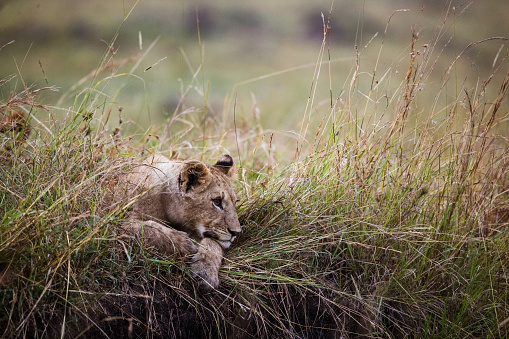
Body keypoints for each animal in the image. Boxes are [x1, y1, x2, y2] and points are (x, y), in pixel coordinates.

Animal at [118, 153, 241, 290]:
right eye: (217, 201)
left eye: (235, 202)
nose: (236, 232)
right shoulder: (121, 223)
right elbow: (151, 229)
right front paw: (188, 246)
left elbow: (213, 244)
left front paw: (206, 273)